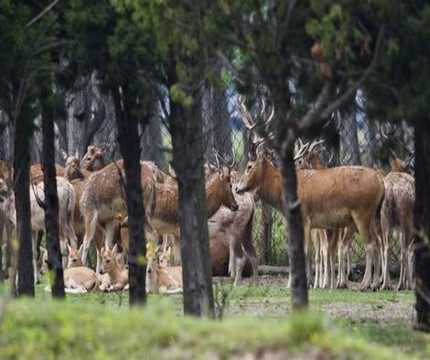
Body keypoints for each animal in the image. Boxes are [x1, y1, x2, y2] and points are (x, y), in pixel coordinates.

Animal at [237, 97, 384, 290]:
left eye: (249, 166)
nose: (237, 188)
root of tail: (381, 182)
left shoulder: (304, 217)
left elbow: (303, 251)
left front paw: (296, 283)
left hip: (362, 213)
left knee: (370, 244)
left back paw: (365, 284)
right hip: (374, 215)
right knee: (378, 242)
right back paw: (375, 283)